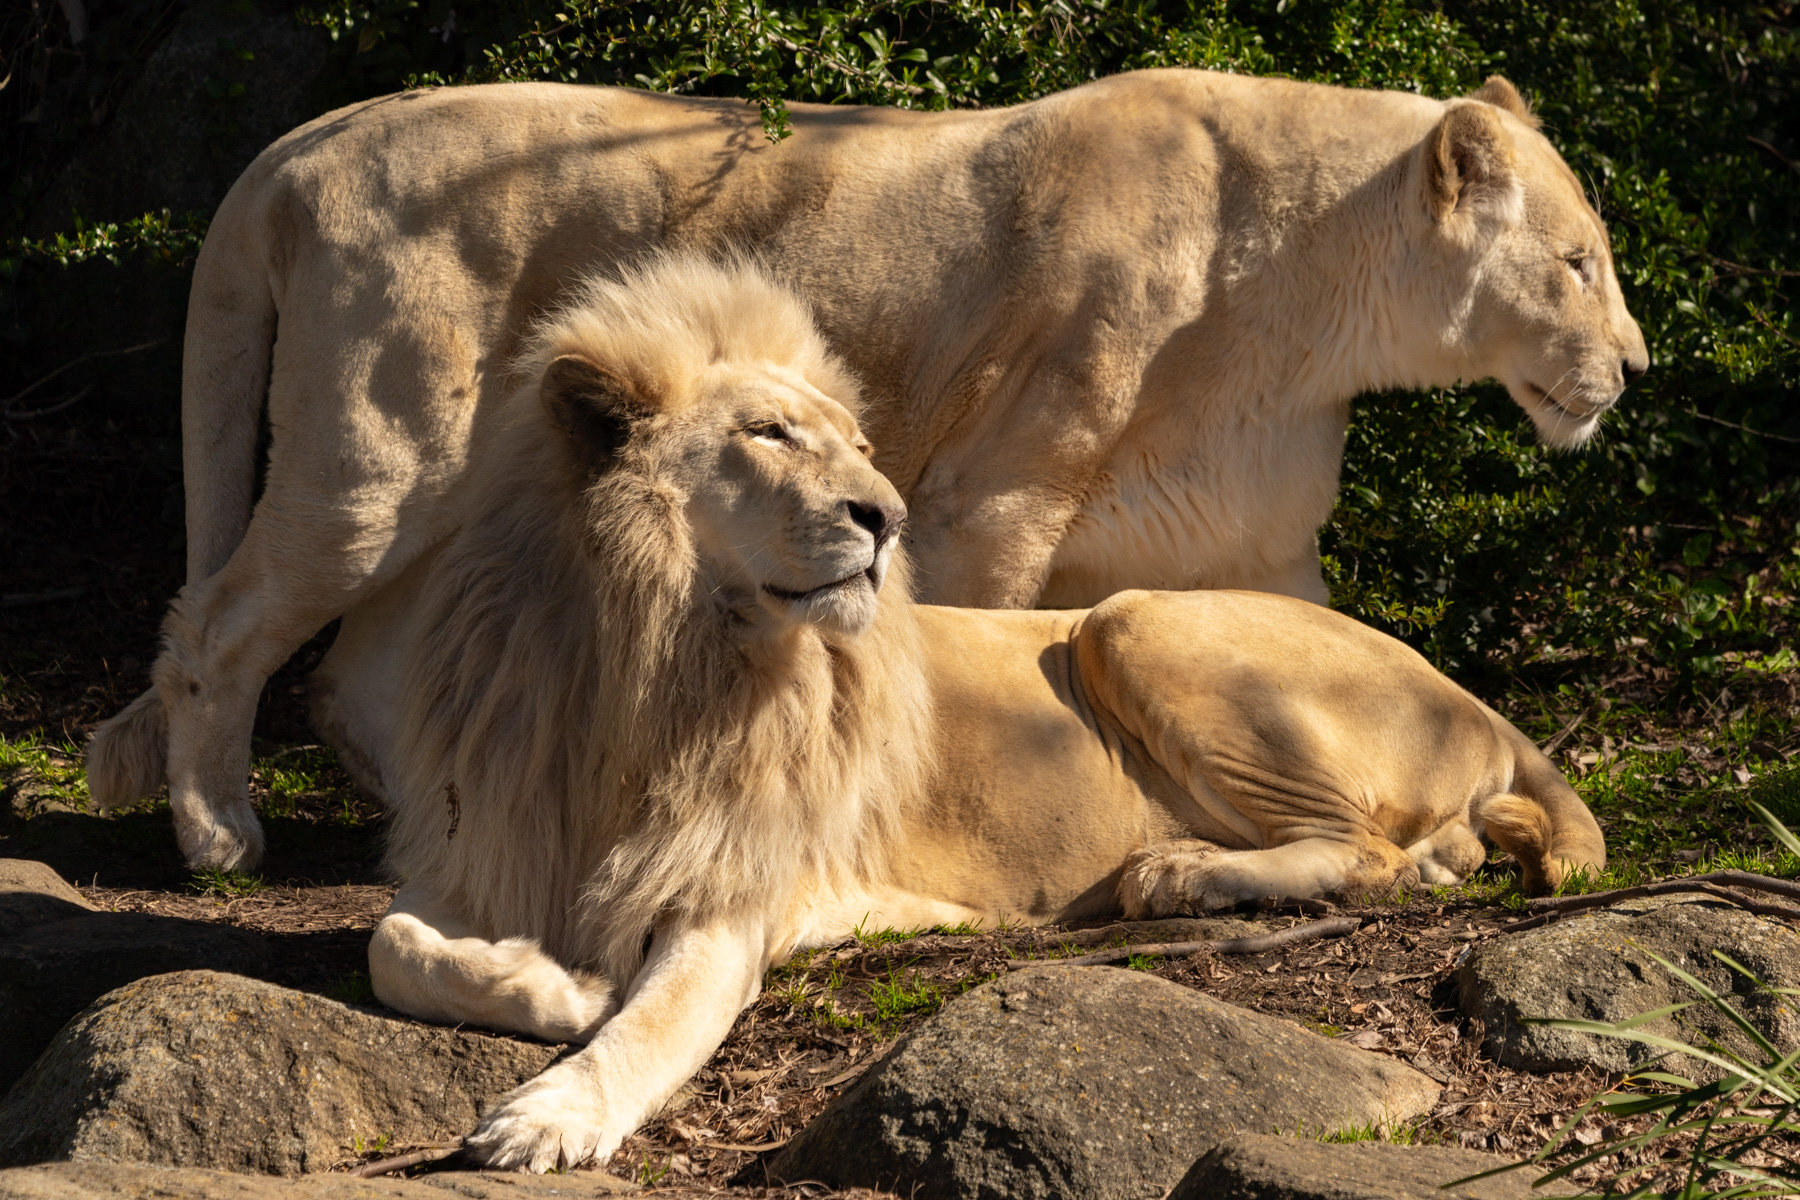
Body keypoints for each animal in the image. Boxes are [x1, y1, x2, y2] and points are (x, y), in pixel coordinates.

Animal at [88, 69, 1646, 871]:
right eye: (1577, 262)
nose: (1634, 367)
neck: (1313, 303)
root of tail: (296, 145)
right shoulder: (995, 492)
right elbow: (960, 643)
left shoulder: (1255, 541)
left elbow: (1347, 677)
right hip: (380, 448)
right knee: (219, 627)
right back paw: (221, 836)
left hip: (464, 487)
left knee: (357, 668)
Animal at [332, 257, 1605, 1172]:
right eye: (767, 434)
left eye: (856, 445)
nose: (886, 515)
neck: (646, 666)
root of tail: (1475, 698)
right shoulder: (484, 844)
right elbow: (393, 945)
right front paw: (558, 990)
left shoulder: (730, 894)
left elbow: (650, 1025)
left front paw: (552, 1112)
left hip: (1132, 617)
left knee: (1377, 854)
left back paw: (1178, 874)